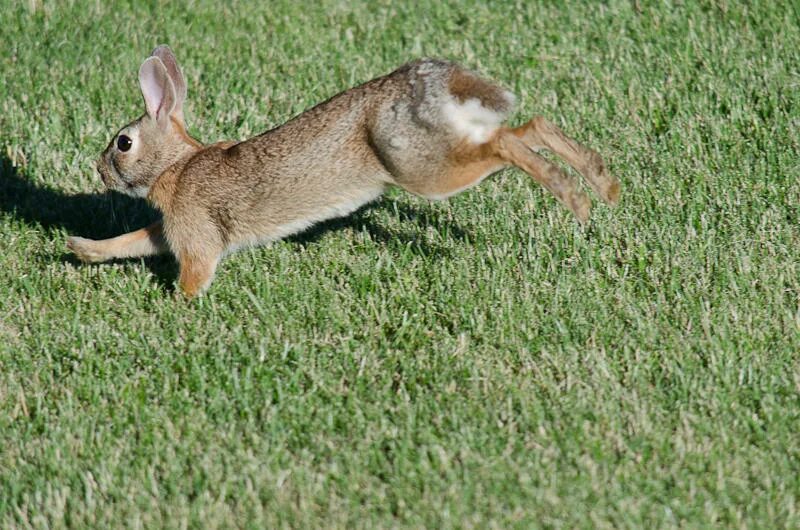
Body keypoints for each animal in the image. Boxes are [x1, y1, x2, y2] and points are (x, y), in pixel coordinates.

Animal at [67, 46, 620, 296]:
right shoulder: (170, 229)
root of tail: (436, 83)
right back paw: (603, 185)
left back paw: (575, 197)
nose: (99, 168)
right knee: (531, 126)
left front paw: (178, 305)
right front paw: (81, 250)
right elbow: (134, 241)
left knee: (507, 144)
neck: (177, 166)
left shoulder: (196, 233)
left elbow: (194, 270)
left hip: (423, 169)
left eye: (124, 143)